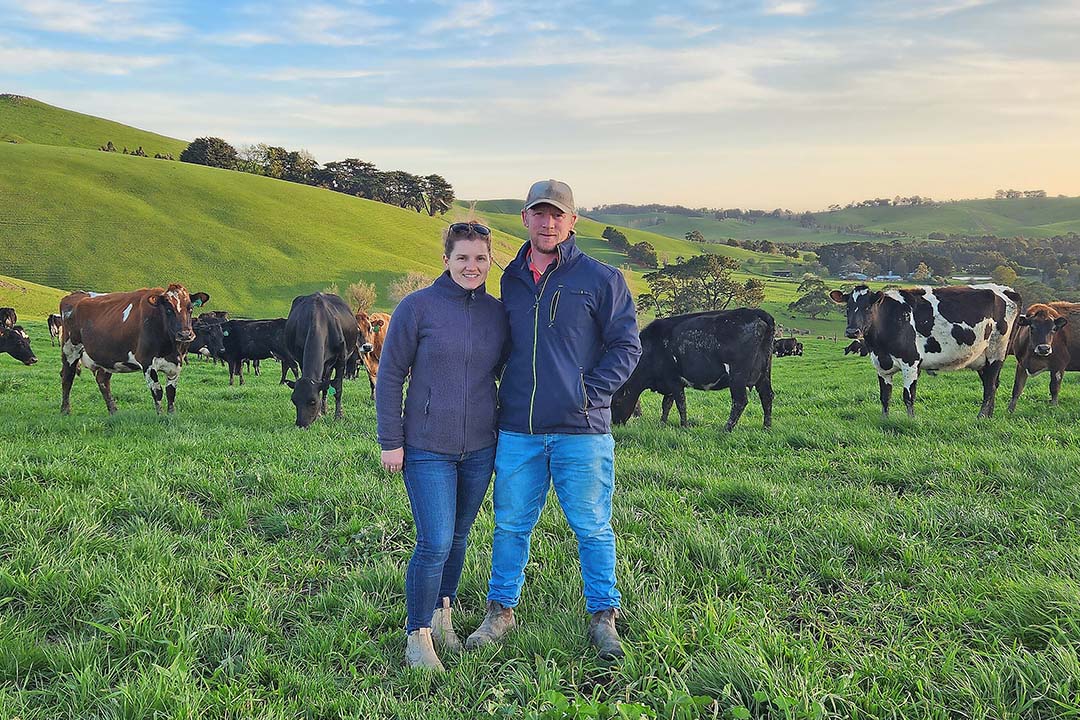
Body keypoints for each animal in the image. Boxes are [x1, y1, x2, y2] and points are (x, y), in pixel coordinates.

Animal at [58, 284, 210, 414]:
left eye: (190, 308)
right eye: (168, 309)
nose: (185, 334)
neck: (171, 348)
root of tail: (76, 294)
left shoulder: (176, 363)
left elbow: (171, 392)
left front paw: (171, 415)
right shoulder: (147, 362)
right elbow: (158, 391)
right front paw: (161, 416)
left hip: (107, 356)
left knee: (103, 381)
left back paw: (114, 412)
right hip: (70, 349)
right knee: (67, 377)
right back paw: (65, 410)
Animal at [282, 293, 358, 427]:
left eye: (312, 401)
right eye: (294, 400)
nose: (301, 424)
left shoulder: (341, 359)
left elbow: (337, 388)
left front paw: (338, 416)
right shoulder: (301, 358)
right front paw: (318, 415)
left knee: (326, 384)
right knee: (324, 383)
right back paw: (323, 411)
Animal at [613, 306, 773, 431]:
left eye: (617, 401)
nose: (616, 423)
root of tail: (756, 312)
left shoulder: (673, 380)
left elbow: (680, 404)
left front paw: (684, 426)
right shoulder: (668, 383)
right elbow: (667, 404)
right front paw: (662, 423)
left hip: (737, 375)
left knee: (740, 401)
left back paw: (726, 429)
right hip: (763, 373)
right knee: (767, 396)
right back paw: (766, 427)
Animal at [833, 280, 1019, 416]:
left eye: (867, 307)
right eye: (848, 307)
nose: (852, 331)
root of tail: (1006, 290)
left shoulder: (910, 362)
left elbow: (908, 396)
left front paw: (911, 420)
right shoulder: (882, 367)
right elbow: (885, 397)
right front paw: (884, 419)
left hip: (996, 352)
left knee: (990, 387)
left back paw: (980, 417)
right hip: (982, 359)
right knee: (991, 384)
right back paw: (989, 416)